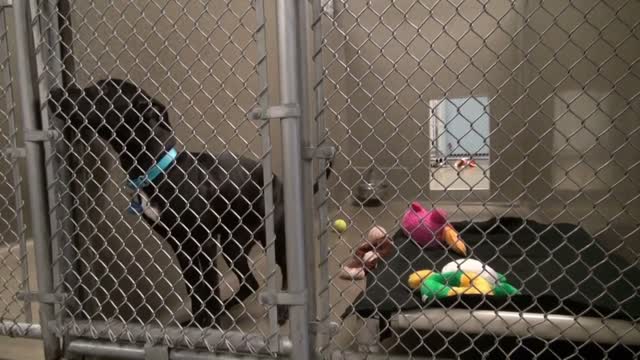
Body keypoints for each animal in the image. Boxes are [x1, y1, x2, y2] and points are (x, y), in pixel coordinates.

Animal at [49, 79, 330, 326]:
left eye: (105, 89)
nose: (54, 91)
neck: (159, 169)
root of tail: (276, 179)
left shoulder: (203, 243)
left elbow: (209, 288)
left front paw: (210, 323)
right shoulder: (180, 246)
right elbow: (194, 288)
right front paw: (198, 321)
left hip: (267, 236)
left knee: (283, 270)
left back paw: (278, 311)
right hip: (233, 242)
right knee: (249, 283)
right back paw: (226, 308)